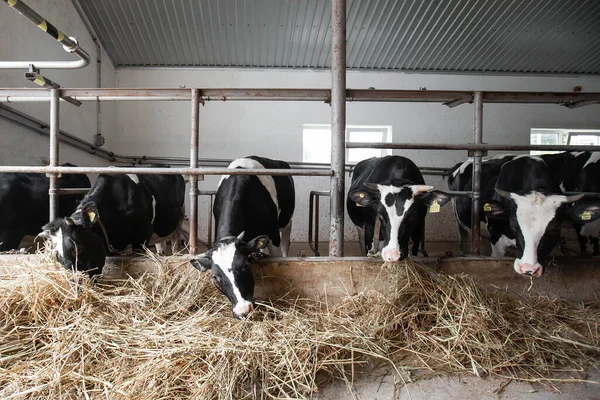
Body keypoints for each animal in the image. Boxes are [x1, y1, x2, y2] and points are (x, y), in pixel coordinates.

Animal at [40, 167, 185, 276]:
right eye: (57, 255)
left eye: (77, 249)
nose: (77, 283)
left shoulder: (144, 233)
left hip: (179, 220)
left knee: (175, 241)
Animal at [189, 155, 294, 318]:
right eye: (215, 277)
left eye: (245, 265)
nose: (243, 310)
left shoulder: (273, 234)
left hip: (286, 222)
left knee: (285, 243)